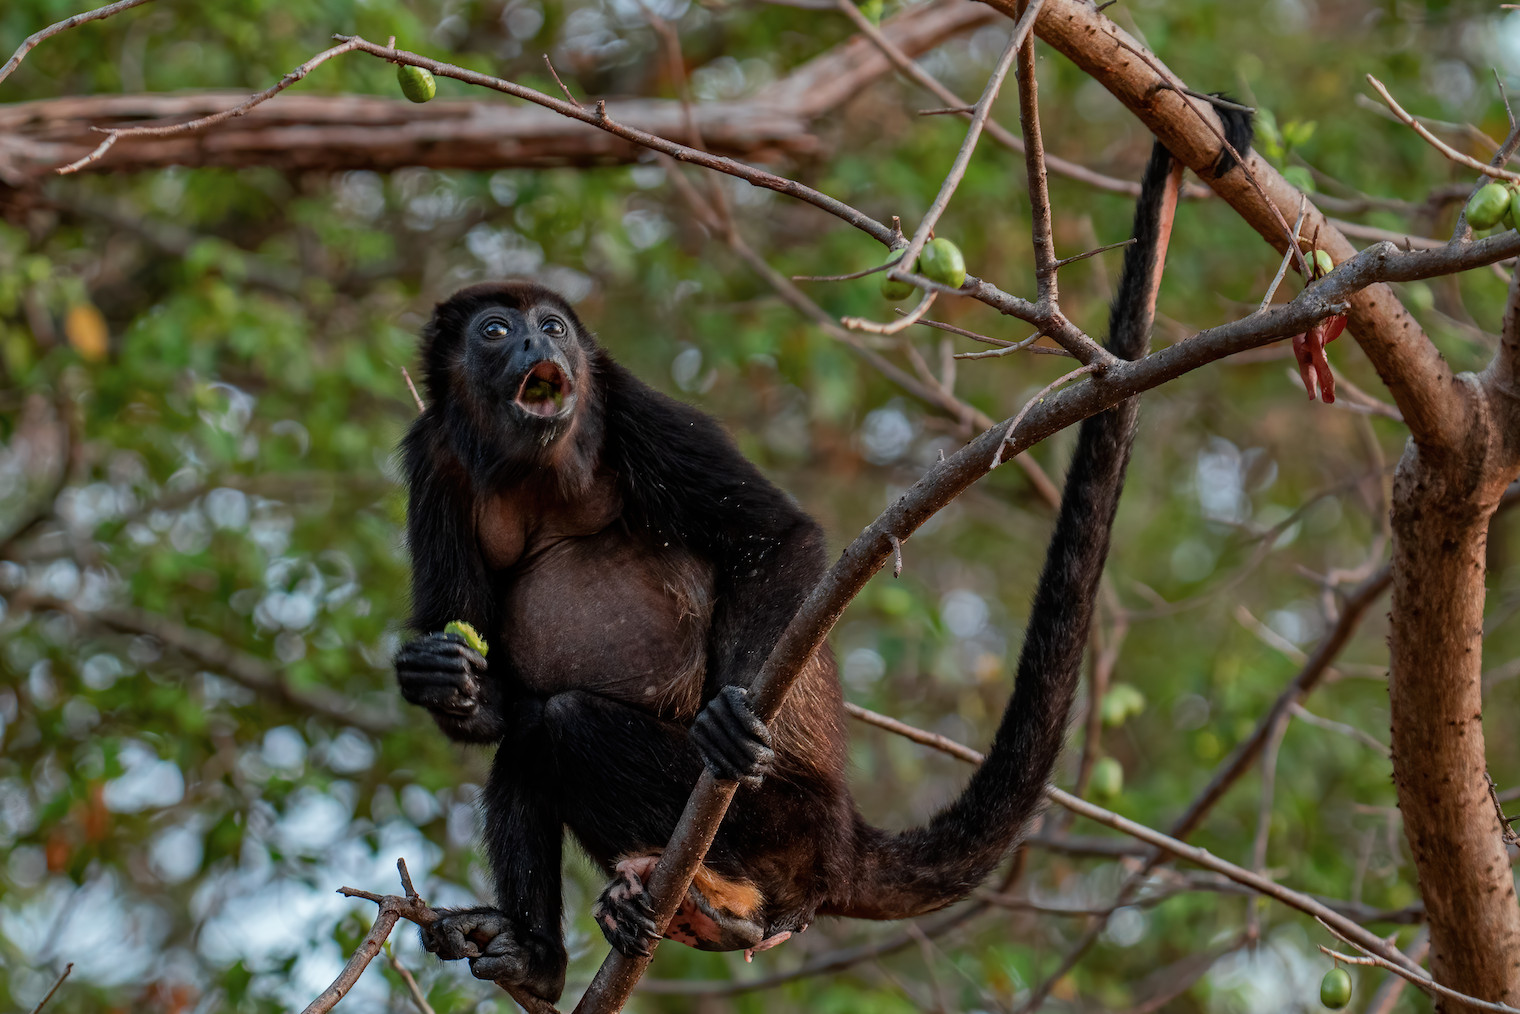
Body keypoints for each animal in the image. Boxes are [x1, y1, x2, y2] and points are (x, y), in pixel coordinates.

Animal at [392, 111, 1253, 1002]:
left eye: (553, 326)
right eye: (497, 330)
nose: (537, 338)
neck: (536, 463)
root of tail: (840, 835)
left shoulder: (629, 404)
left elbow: (778, 537)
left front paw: (730, 714)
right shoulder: (433, 457)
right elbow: (483, 677)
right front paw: (439, 676)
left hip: (785, 823)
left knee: (561, 723)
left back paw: (725, 896)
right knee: (525, 742)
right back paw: (539, 955)